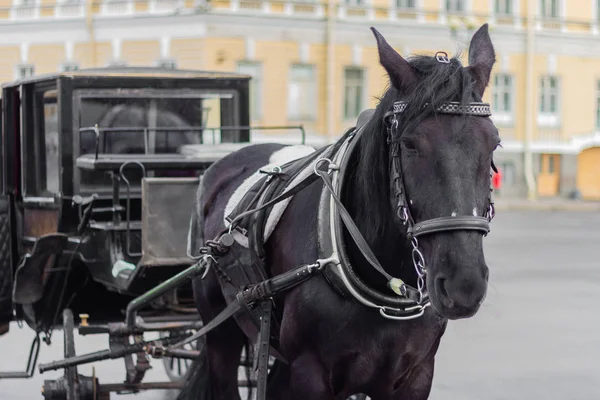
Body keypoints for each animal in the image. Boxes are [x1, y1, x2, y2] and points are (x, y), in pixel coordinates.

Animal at [180, 23, 500, 398]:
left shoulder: (415, 376)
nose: (464, 283)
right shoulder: (310, 373)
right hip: (220, 331)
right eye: (409, 144)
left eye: (494, 142)